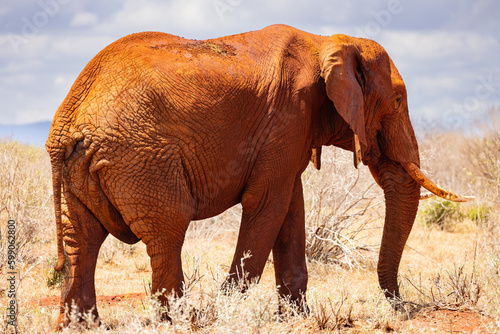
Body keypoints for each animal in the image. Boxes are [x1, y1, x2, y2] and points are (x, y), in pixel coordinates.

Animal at [45, 24, 470, 328]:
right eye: (398, 101)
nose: (403, 307)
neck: (329, 41)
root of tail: (69, 120)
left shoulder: (293, 130)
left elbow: (290, 206)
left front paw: (297, 319)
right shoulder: (289, 116)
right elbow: (268, 204)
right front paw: (224, 313)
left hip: (85, 168)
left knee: (81, 239)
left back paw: (83, 326)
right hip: (142, 158)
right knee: (167, 231)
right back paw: (181, 322)